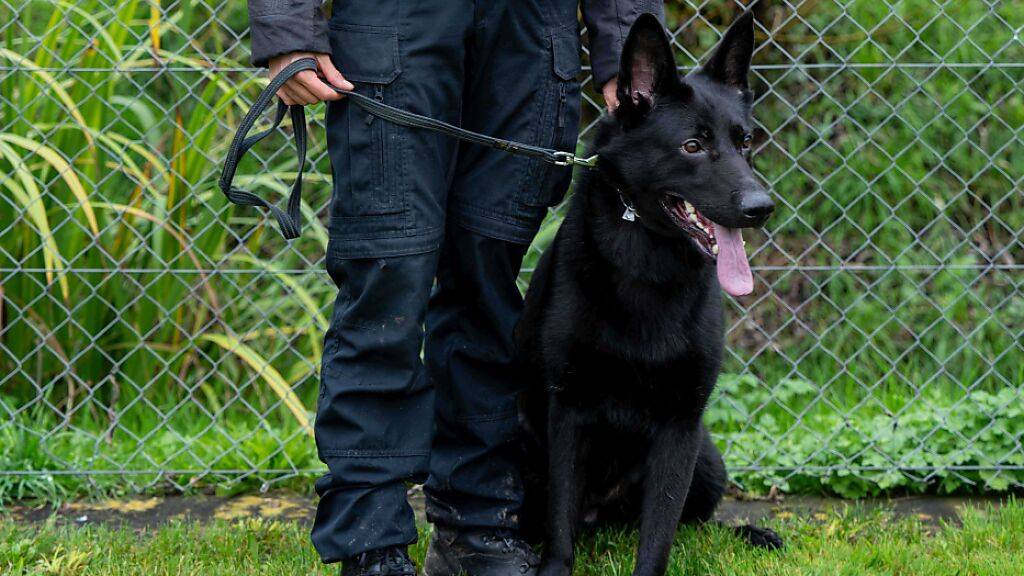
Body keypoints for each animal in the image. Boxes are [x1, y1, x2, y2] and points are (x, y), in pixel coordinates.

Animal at [512, 12, 782, 573]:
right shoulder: (568, 412)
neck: (647, 265)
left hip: (707, 459)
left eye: (745, 141)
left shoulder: (681, 425)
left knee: (698, 523)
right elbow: (560, 525)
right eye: (692, 146)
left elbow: (659, 533)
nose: (761, 208)